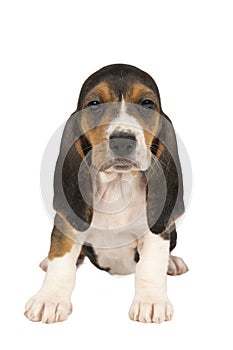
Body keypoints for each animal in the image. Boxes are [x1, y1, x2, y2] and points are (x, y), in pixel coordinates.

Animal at [25, 64, 189, 324]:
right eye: (94, 104)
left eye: (146, 103)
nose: (123, 142)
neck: (116, 185)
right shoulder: (68, 224)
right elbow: (61, 260)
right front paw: (49, 299)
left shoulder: (156, 232)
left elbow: (151, 265)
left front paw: (151, 302)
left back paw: (173, 263)